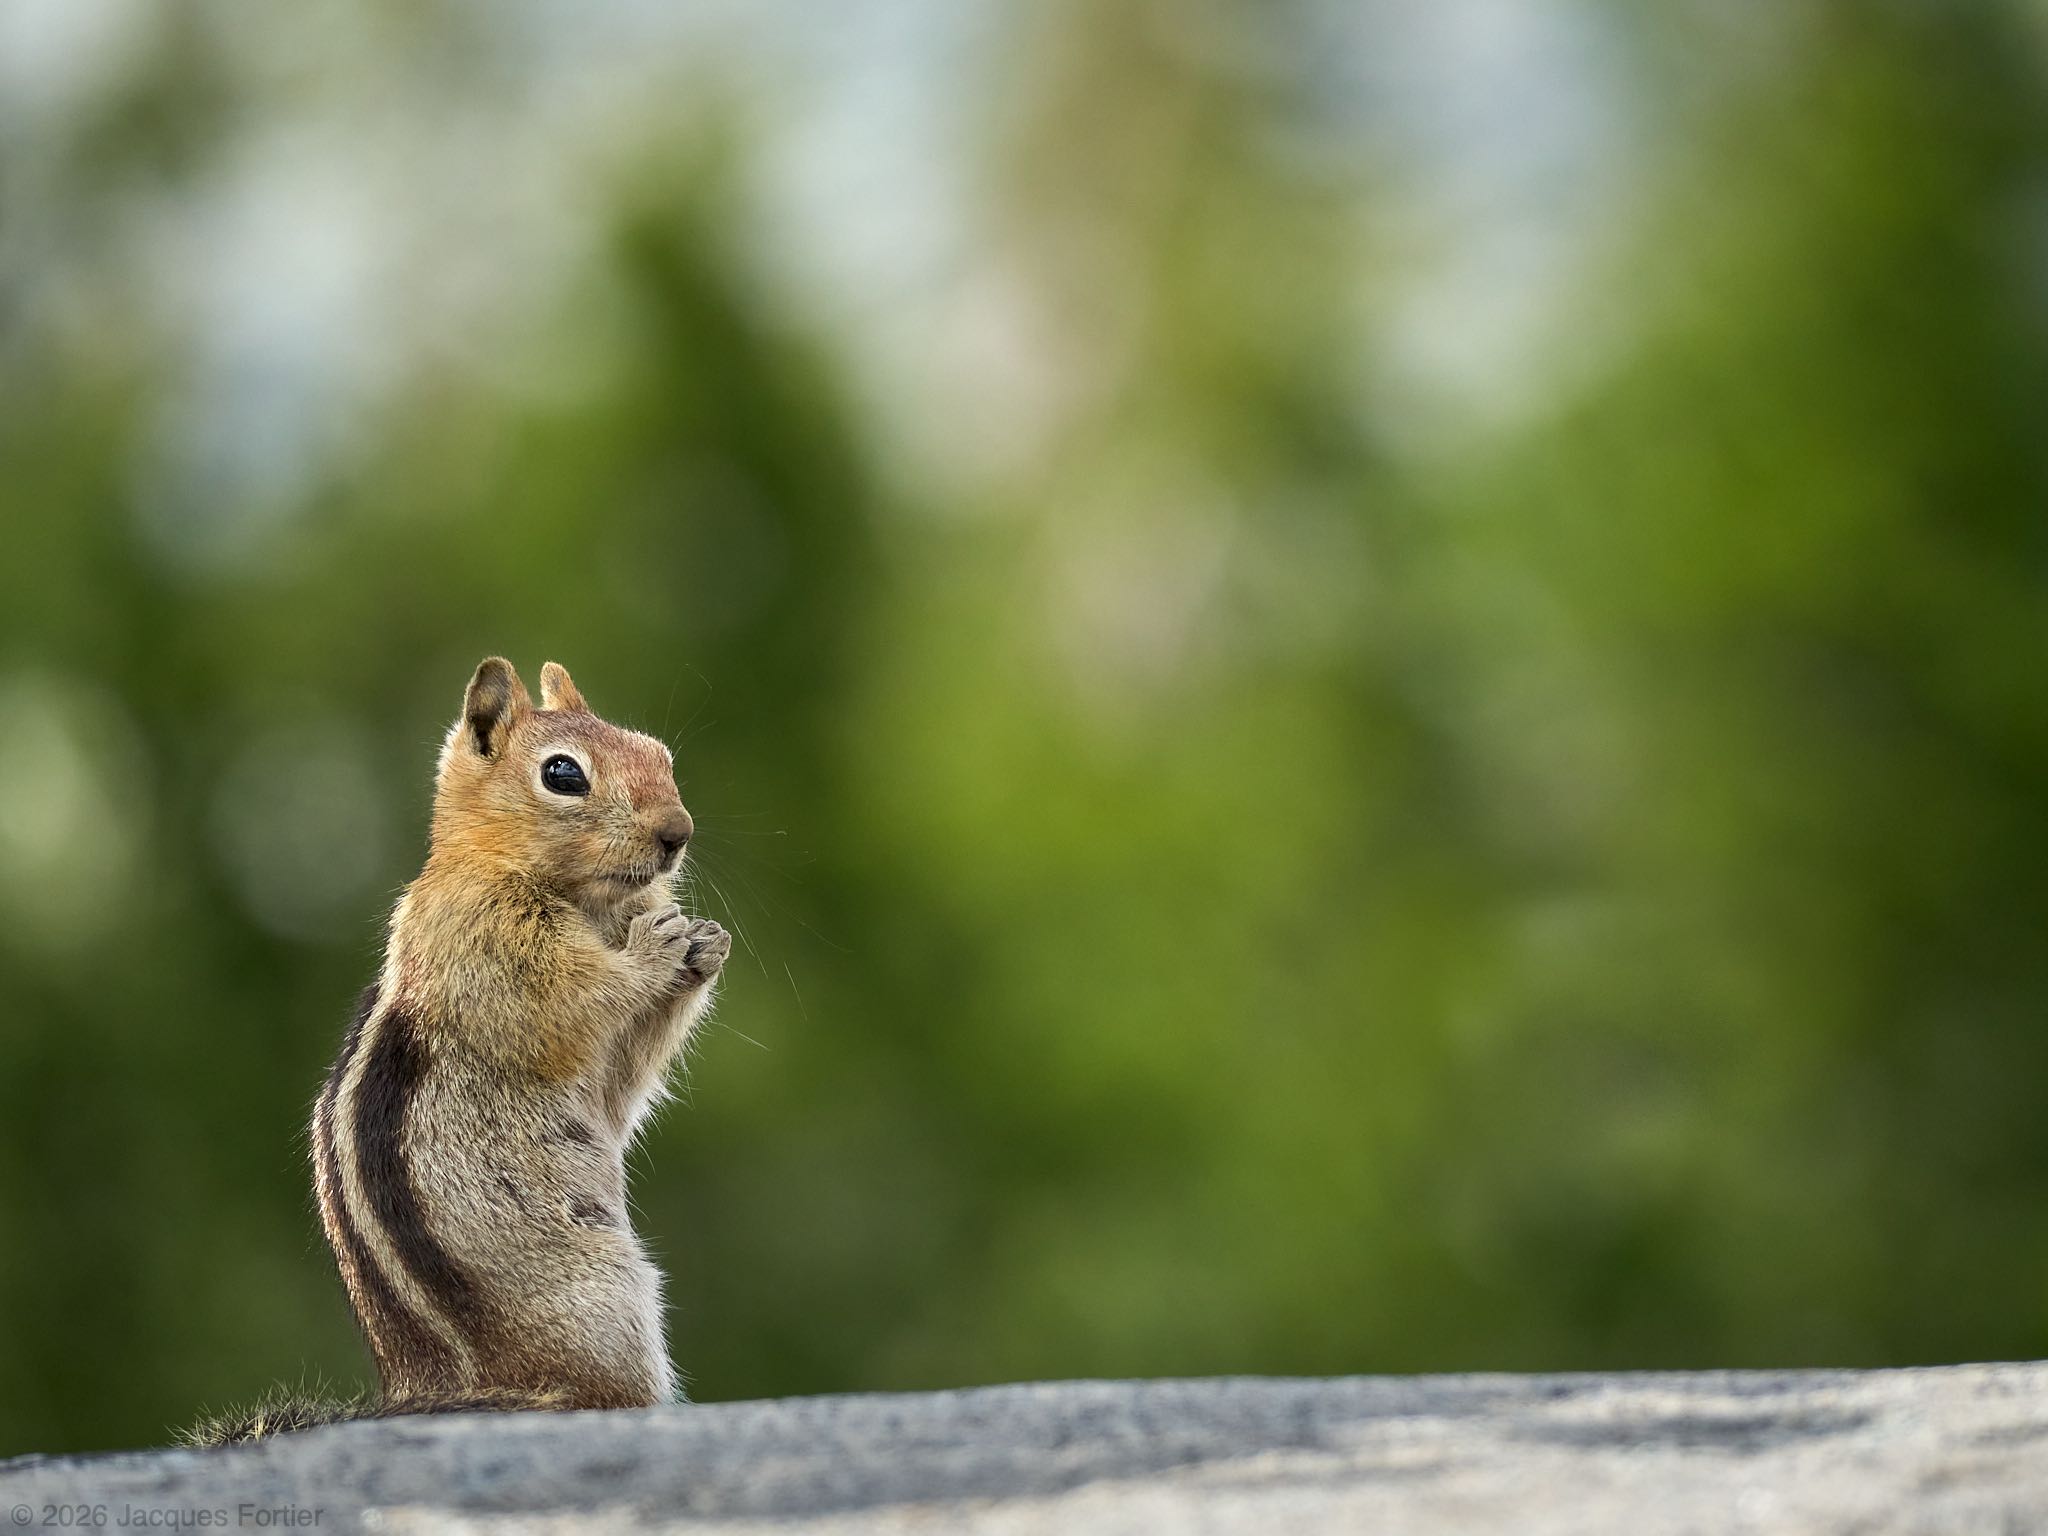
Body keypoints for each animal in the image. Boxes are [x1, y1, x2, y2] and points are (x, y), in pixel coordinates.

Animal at [190, 658, 730, 1445]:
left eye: (658, 754)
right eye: (563, 773)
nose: (677, 834)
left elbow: (621, 1078)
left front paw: (706, 943)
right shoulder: (490, 944)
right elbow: (574, 1001)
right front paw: (654, 948)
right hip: (611, 1299)